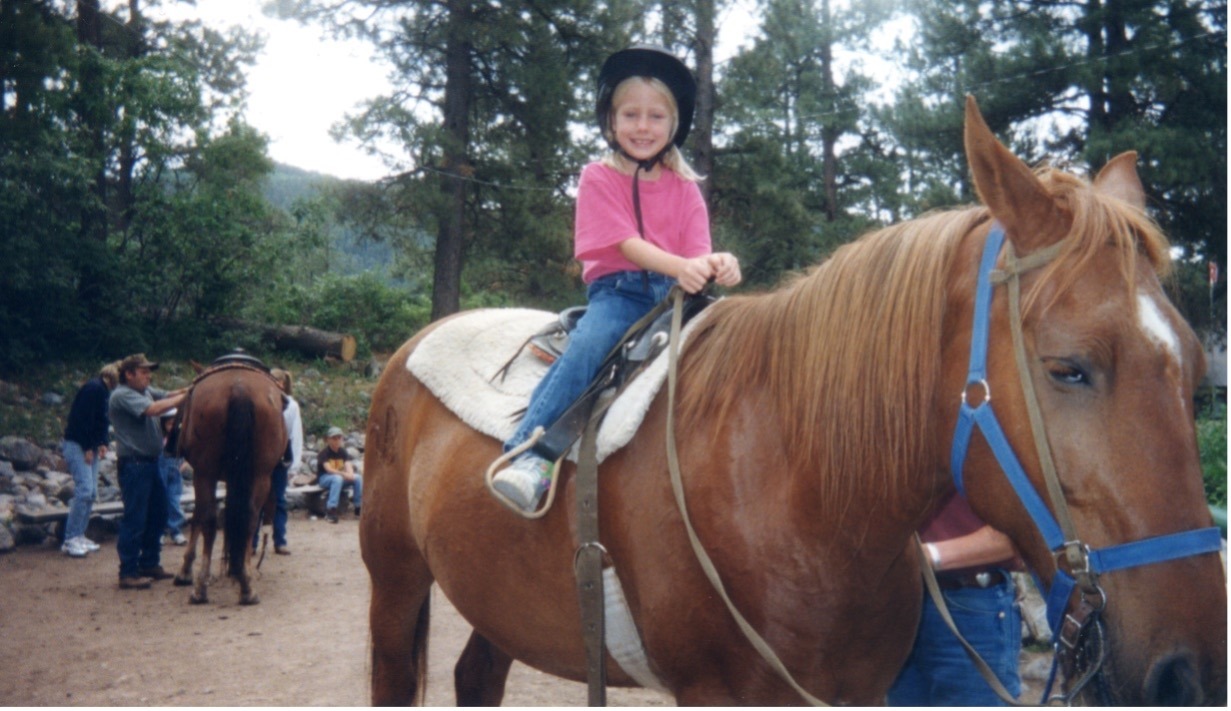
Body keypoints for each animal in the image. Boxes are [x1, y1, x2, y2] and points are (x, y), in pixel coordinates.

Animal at [173, 361, 288, 600]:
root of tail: (239, 388)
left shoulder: (202, 474)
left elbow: (198, 518)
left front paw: (185, 571)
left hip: (205, 473)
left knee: (208, 518)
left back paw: (201, 587)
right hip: (260, 475)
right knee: (250, 517)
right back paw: (247, 585)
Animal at [359, 95, 1226, 703]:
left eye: (1192, 376)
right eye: (1069, 368)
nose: (1189, 673)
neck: (799, 487)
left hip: (497, 597)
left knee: (477, 675)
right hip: (394, 577)